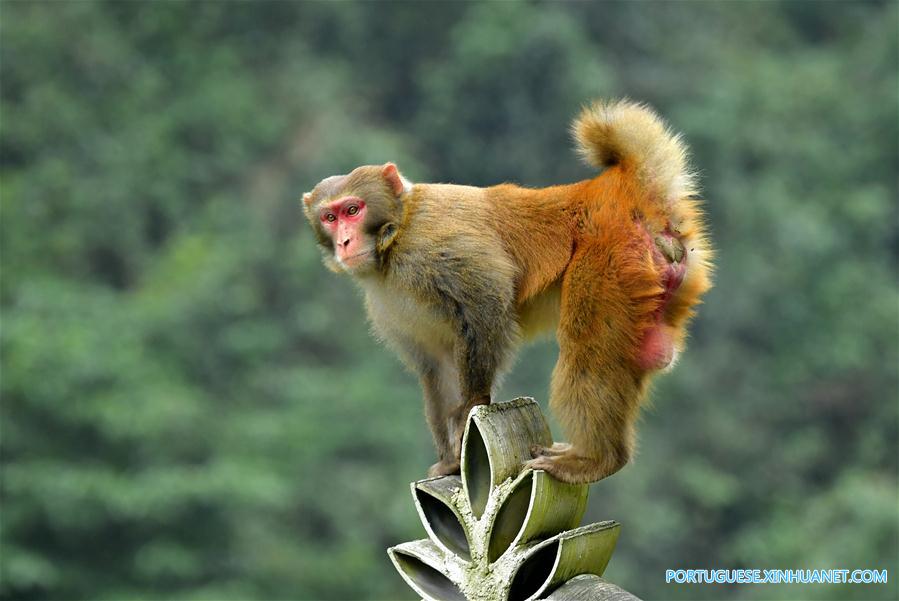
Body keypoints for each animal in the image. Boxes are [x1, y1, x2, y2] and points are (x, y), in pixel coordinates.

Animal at [300, 98, 712, 482]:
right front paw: (451, 461)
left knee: (588, 349)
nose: (345, 242)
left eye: (353, 209)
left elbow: (488, 300)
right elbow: (438, 365)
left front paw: (472, 407)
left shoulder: (432, 247)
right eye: (330, 217)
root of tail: (615, 190)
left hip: (611, 263)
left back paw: (596, 459)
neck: (396, 235)